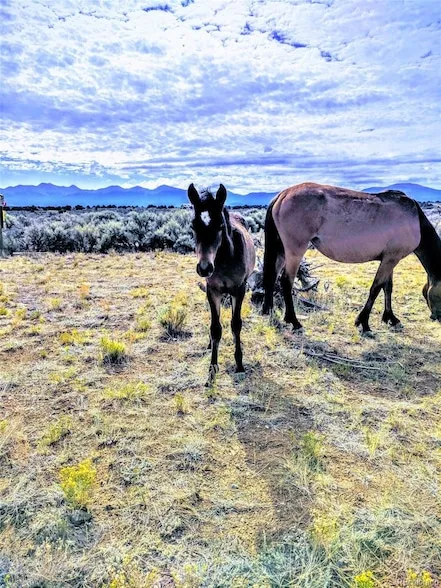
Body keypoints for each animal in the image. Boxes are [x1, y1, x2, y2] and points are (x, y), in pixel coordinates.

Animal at [187, 183, 256, 385]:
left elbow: (236, 324)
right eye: (193, 226)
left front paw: (239, 365)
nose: (204, 268)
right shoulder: (213, 291)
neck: (224, 259)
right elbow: (215, 328)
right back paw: (210, 344)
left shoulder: (239, 290)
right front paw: (212, 371)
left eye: (219, 226)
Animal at [262, 182, 441, 334]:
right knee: (286, 281)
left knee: (272, 276)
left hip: (282, 250)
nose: (437, 318)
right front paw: (364, 322)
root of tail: (283, 194)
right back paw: (294, 321)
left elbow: (387, 287)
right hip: (295, 250)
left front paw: (390, 318)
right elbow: (376, 288)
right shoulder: (391, 260)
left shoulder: (390, 259)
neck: (414, 219)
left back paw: (268, 312)